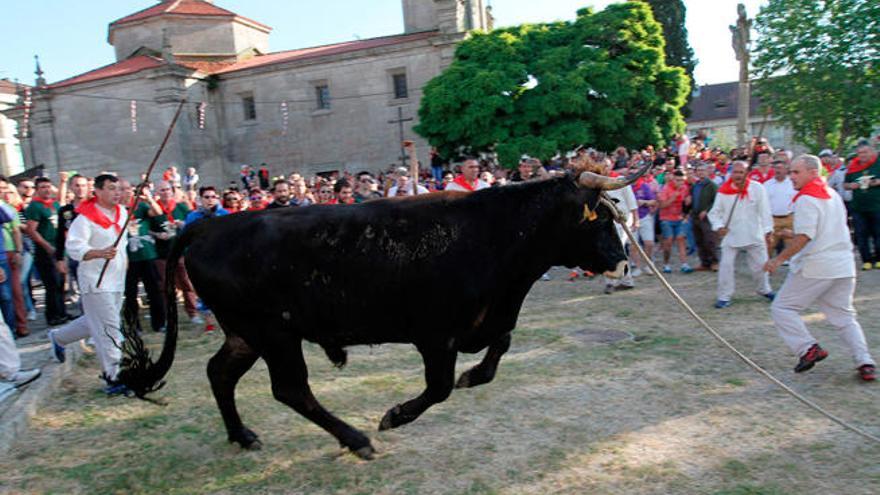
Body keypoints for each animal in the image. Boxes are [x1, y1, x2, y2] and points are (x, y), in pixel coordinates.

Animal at [118, 168, 648, 462]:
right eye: (601, 217)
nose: (624, 262)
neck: (494, 234)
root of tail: (210, 226)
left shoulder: (486, 322)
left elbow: (499, 347)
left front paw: (474, 377)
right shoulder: (435, 335)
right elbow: (438, 388)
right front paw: (395, 416)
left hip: (245, 334)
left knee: (220, 374)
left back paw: (243, 436)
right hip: (274, 334)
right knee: (290, 389)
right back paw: (356, 440)